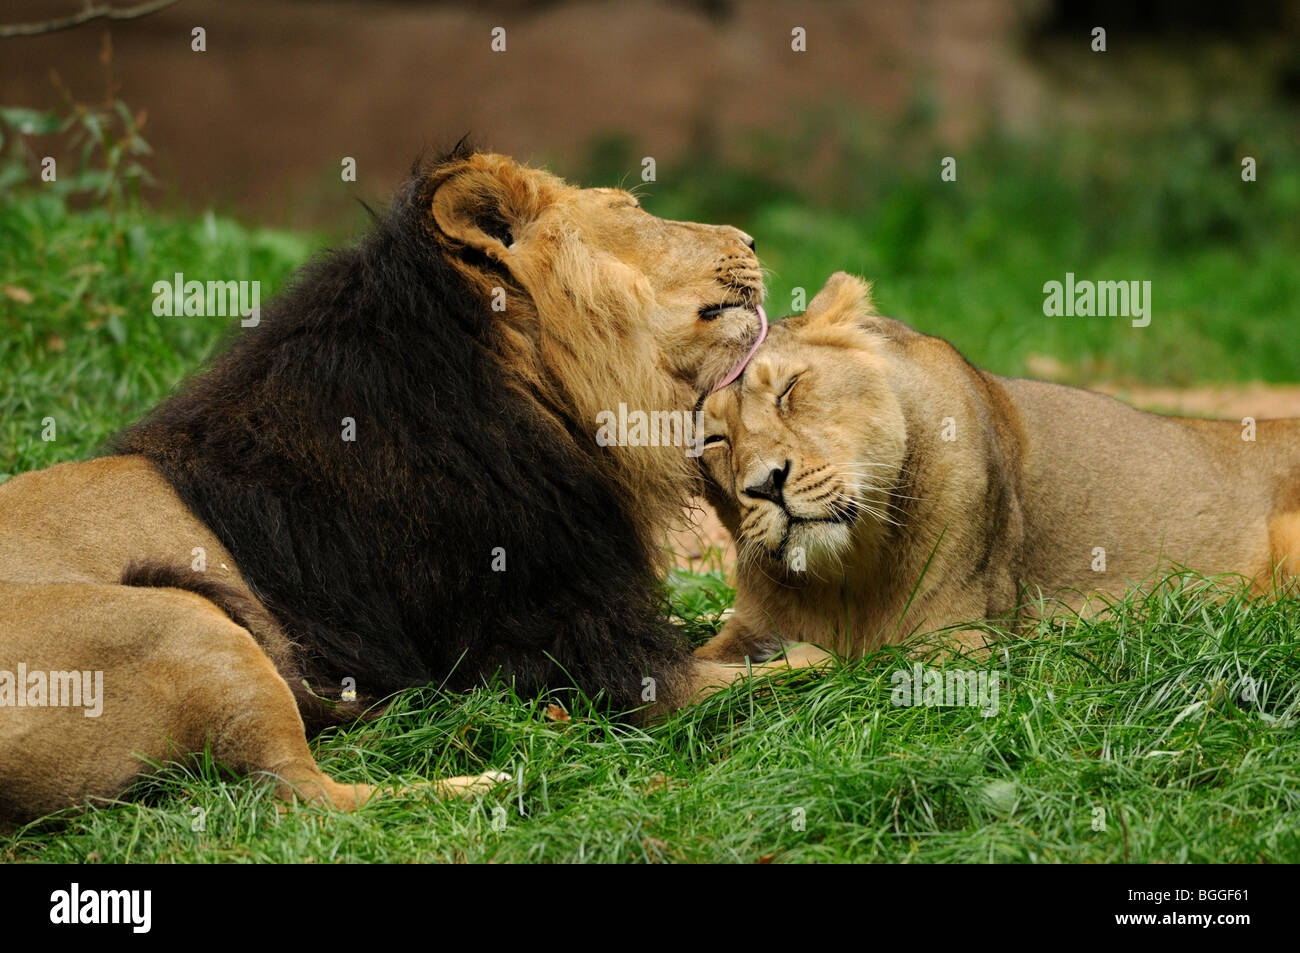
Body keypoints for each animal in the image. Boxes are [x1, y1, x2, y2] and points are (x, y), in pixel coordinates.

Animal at [0, 143, 827, 829]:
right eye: (632, 211)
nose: (753, 242)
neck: (543, 394)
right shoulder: (587, 663)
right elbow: (789, 669)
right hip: (184, 622)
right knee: (308, 797)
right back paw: (497, 775)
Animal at [693, 272, 1300, 662]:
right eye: (716, 439)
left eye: (790, 389)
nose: (766, 484)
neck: (846, 573)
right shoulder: (751, 624)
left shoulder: (954, 646)